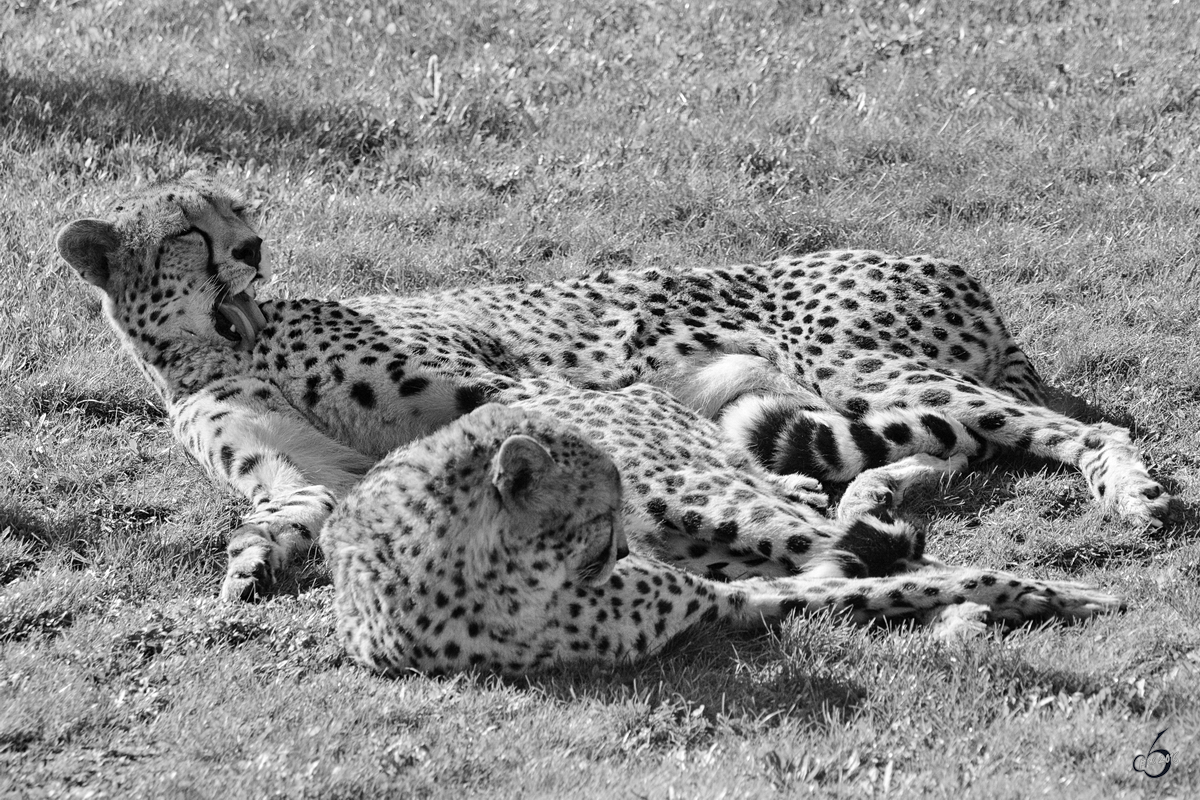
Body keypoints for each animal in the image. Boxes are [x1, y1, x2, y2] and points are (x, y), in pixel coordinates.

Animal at [58, 175, 1171, 599]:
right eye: (191, 229)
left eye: (240, 212)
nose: (252, 249)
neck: (222, 350)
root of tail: (945, 262)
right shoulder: (307, 477)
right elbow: (289, 509)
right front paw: (250, 562)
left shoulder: (503, 381)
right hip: (872, 396)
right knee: (940, 449)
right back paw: (859, 494)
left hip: (865, 363)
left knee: (1079, 425)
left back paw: (1132, 491)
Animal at [324, 400, 1118, 676]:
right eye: (600, 517)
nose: (627, 548)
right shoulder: (731, 601)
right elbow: (890, 587)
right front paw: (1029, 597)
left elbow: (925, 574)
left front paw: (1059, 593)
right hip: (724, 537)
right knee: (860, 547)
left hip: (716, 504)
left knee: (845, 523)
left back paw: (914, 472)